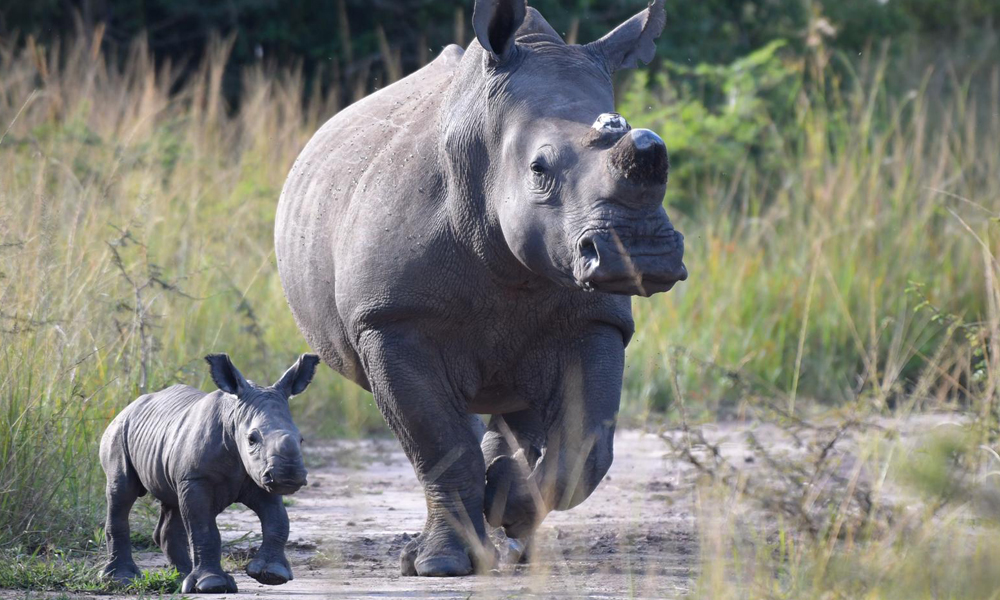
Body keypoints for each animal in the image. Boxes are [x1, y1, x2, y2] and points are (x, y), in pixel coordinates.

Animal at [99, 354, 318, 592]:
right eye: (252, 439)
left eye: (301, 439)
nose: (289, 475)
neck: (233, 417)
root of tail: (128, 407)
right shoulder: (196, 479)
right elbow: (203, 529)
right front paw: (212, 584)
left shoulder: (260, 477)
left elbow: (278, 520)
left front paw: (273, 574)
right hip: (118, 431)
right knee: (122, 492)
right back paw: (122, 579)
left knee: (173, 503)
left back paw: (181, 579)